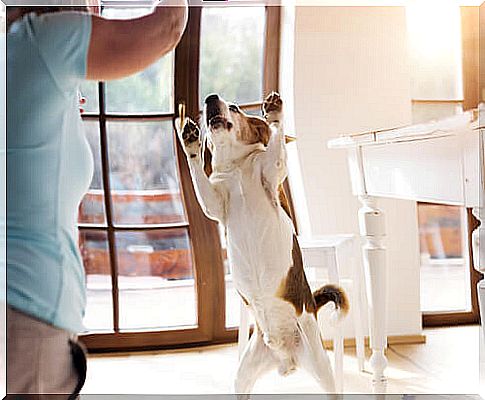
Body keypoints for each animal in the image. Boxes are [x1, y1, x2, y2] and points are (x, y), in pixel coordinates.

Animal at [176, 91, 346, 394]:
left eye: (234, 107)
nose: (210, 98)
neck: (238, 168)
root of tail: (286, 358)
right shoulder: (216, 204)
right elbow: (201, 177)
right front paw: (191, 142)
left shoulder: (272, 173)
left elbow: (276, 145)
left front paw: (275, 112)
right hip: (243, 375)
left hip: (321, 367)